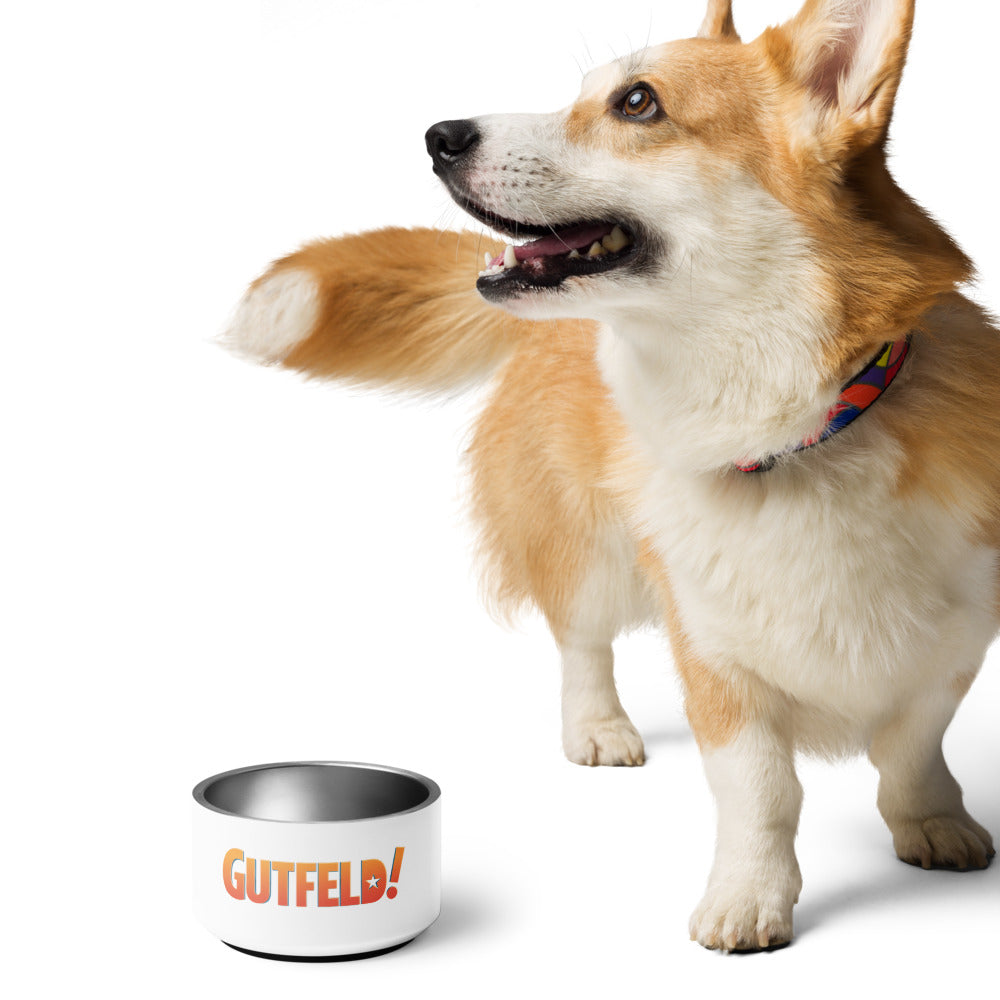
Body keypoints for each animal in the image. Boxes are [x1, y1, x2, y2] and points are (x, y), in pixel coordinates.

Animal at [225, 0, 997, 950]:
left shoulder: (955, 643)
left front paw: (932, 822)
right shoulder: (713, 653)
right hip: (590, 554)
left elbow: (912, 746)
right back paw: (598, 728)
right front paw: (748, 898)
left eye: (637, 102)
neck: (807, 432)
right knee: (581, 641)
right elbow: (762, 790)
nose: (438, 136)